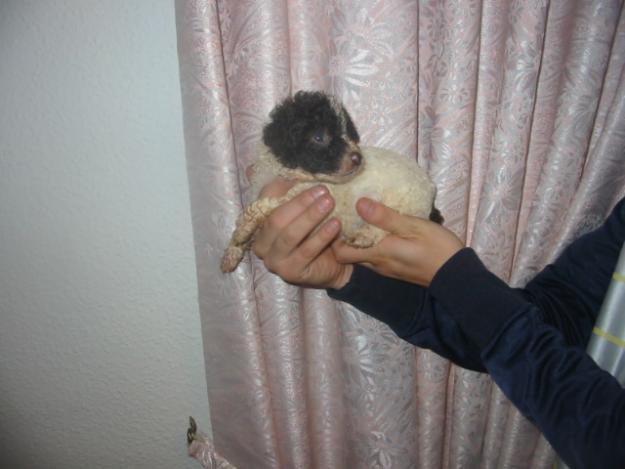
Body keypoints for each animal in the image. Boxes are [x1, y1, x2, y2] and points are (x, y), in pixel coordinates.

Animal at [222, 90, 442, 272]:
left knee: (383, 228)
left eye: (348, 133)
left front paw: (241, 232)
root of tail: (431, 188)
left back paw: (363, 236)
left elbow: (259, 208)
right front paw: (233, 252)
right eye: (319, 137)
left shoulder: (302, 196)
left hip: (403, 204)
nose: (358, 158)